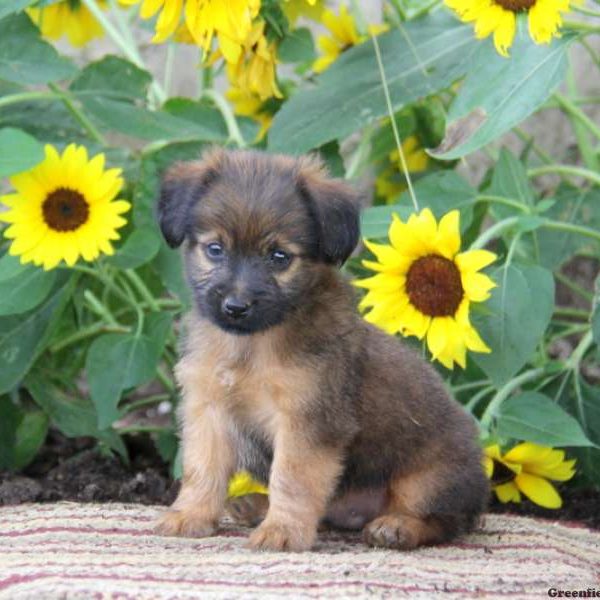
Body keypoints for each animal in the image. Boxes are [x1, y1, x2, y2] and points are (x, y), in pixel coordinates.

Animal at [154, 148, 488, 552]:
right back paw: (254, 505)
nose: (235, 306)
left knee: (446, 521)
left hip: (427, 481)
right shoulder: (210, 410)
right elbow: (202, 469)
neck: (251, 345)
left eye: (279, 257)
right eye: (215, 250)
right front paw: (191, 514)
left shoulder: (307, 421)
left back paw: (397, 527)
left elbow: (291, 478)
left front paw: (282, 530)